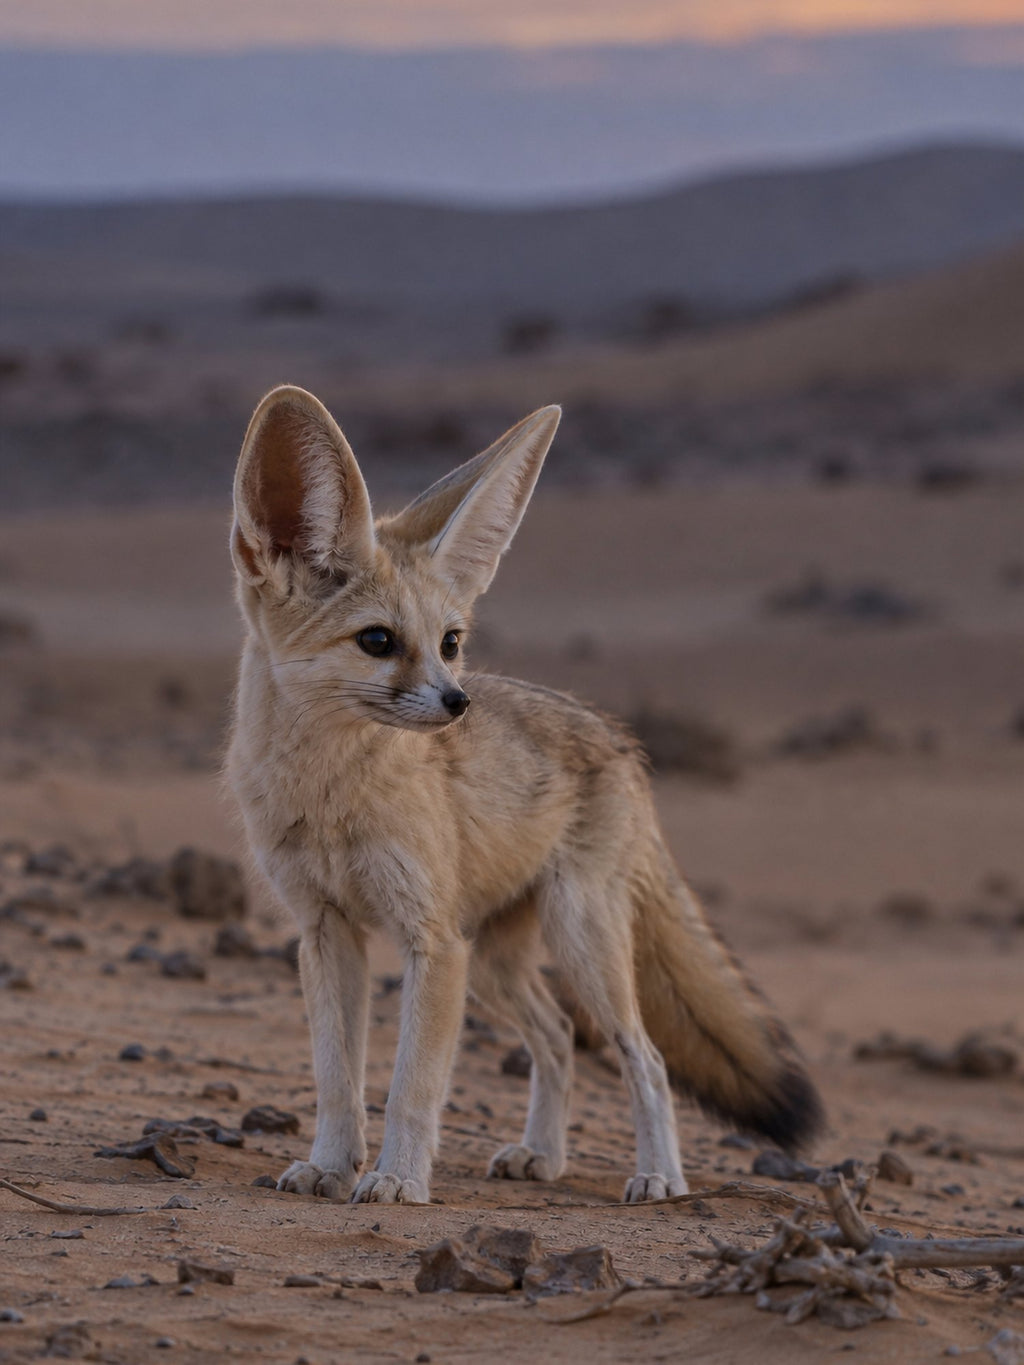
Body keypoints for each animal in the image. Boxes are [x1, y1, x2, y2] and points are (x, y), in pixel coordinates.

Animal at [226, 384, 824, 1206]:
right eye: (377, 641)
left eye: (450, 641)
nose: (458, 704)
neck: (331, 797)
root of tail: (619, 739)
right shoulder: (324, 931)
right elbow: (336, 1078)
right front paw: (329, 1164)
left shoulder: (431, 940)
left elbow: (413, 1084)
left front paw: (397, 1178)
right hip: (496, 962)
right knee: (557, 1036)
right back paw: (543, 1154)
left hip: (576, 942)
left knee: (645, 1056)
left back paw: (659, 1176)